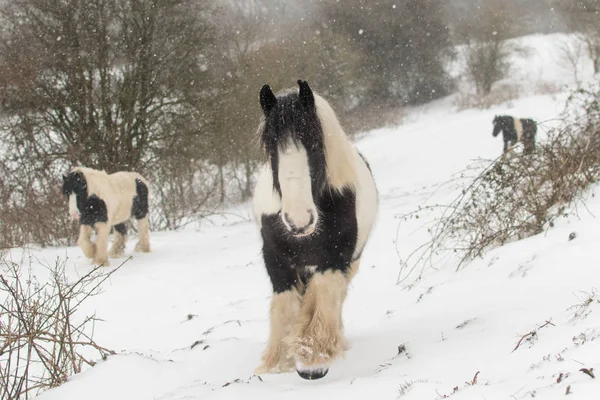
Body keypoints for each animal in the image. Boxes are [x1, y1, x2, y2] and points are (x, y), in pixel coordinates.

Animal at [251, 79, 378, 380]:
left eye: (313, 141)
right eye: (271, 147)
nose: (299, 221)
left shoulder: (334, 259)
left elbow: (323, 299)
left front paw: (313, 358)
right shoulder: (276, 260)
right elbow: (285, 306)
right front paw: (278, 363)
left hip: (351, 261)